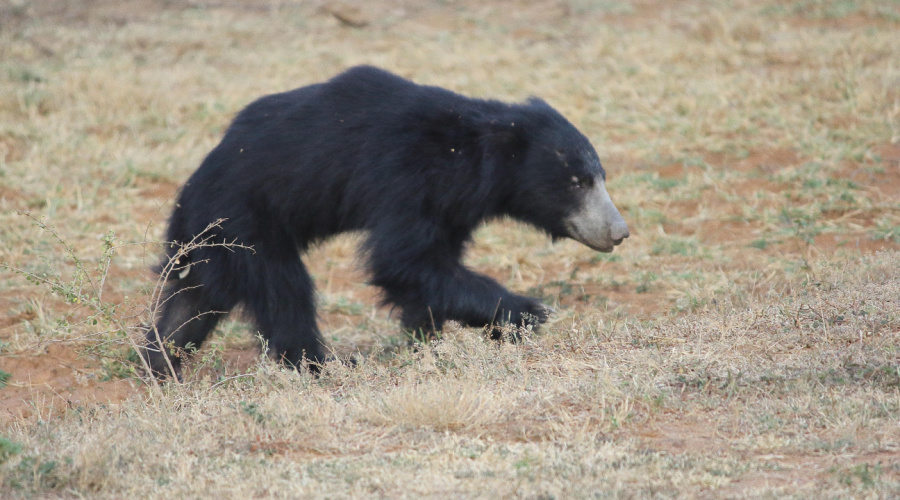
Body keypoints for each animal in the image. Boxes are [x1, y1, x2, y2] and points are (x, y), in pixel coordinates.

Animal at [144, 67, 628, 378]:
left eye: (601, 176)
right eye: (577, 182)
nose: (619, 232)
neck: (471, 153)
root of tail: (190, 194)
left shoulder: (453, 205)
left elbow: (428, 271)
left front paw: (428, 341)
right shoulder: (406, 177)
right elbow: (402, 261)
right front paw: (527, 313)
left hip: (214, 243)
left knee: (194, 303)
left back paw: (159, 363)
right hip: (249, 224)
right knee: (284, 292)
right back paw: (321, 365)